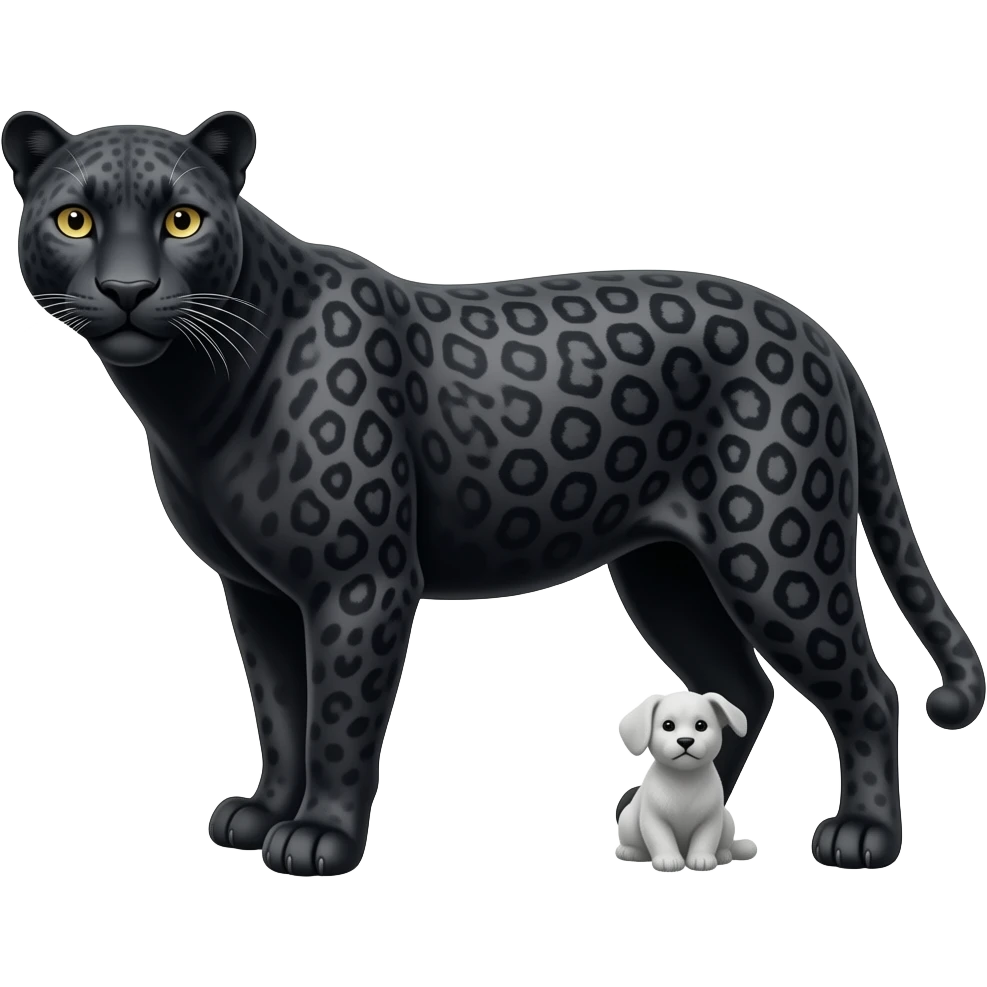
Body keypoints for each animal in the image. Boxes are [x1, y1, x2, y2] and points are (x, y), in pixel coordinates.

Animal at [4, 108, 984, 877]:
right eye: (75, 219)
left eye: (181, 220)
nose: (128, 289)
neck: (189, 392)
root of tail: (813, 329)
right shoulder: (257, 590)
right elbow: (280, 707)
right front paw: (262, 811)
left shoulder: (361, 581)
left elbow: (339, 717)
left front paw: (319, 838)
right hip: (665, 571)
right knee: (733, 685)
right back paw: (650, 818)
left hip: (772, 553)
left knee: (867, 689)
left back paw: (861, 836)